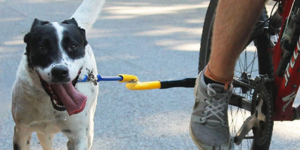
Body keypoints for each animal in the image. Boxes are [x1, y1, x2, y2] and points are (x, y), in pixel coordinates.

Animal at [11, 0, 105, 149]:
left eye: (73, 46)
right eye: (41, 47)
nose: (60, 71)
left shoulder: (78, 138)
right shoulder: (21, 131)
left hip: (89, 131)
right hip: (44, 134)